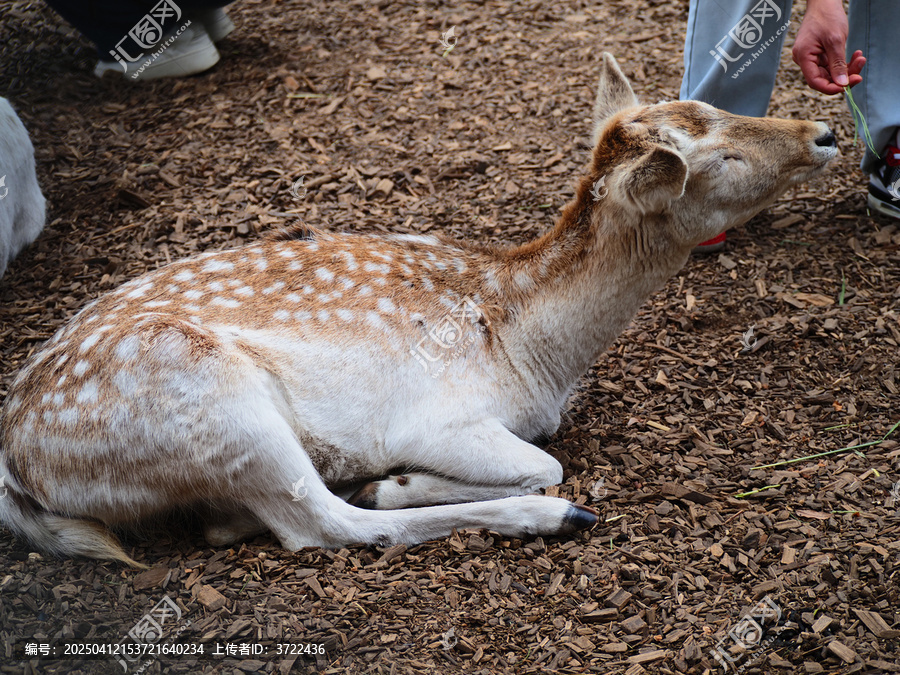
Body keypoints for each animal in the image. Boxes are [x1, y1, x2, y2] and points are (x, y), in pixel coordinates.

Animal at [0, 54, 837, 567]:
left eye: (710, 102)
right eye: (719, 157)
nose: (822, 130)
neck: (534, 351)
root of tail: (19, 465)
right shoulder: (439, 417)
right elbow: (546, 461)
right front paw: (401, 479)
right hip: (211, 402)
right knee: (316, 525)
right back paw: (541, 515)